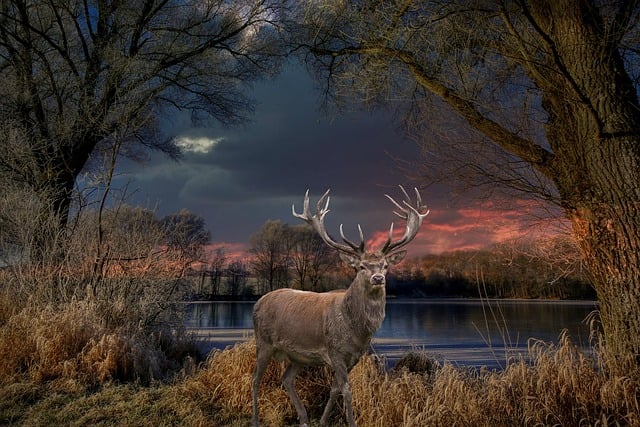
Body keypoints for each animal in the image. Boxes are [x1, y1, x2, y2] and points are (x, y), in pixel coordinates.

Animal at [252, 186, 428, 427]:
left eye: (384, 265)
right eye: (361, 266)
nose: (378, 278)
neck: (356, 329)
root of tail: (257, 302)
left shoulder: (354, 356)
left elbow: (335, 388)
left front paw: (323, 422)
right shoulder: (335, 351)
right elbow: (346, 390)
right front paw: (351, 422)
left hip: (297, 356)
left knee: (286, 378)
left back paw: (304, 419)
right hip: (263, 342)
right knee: (255, 379)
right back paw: (256, 421)